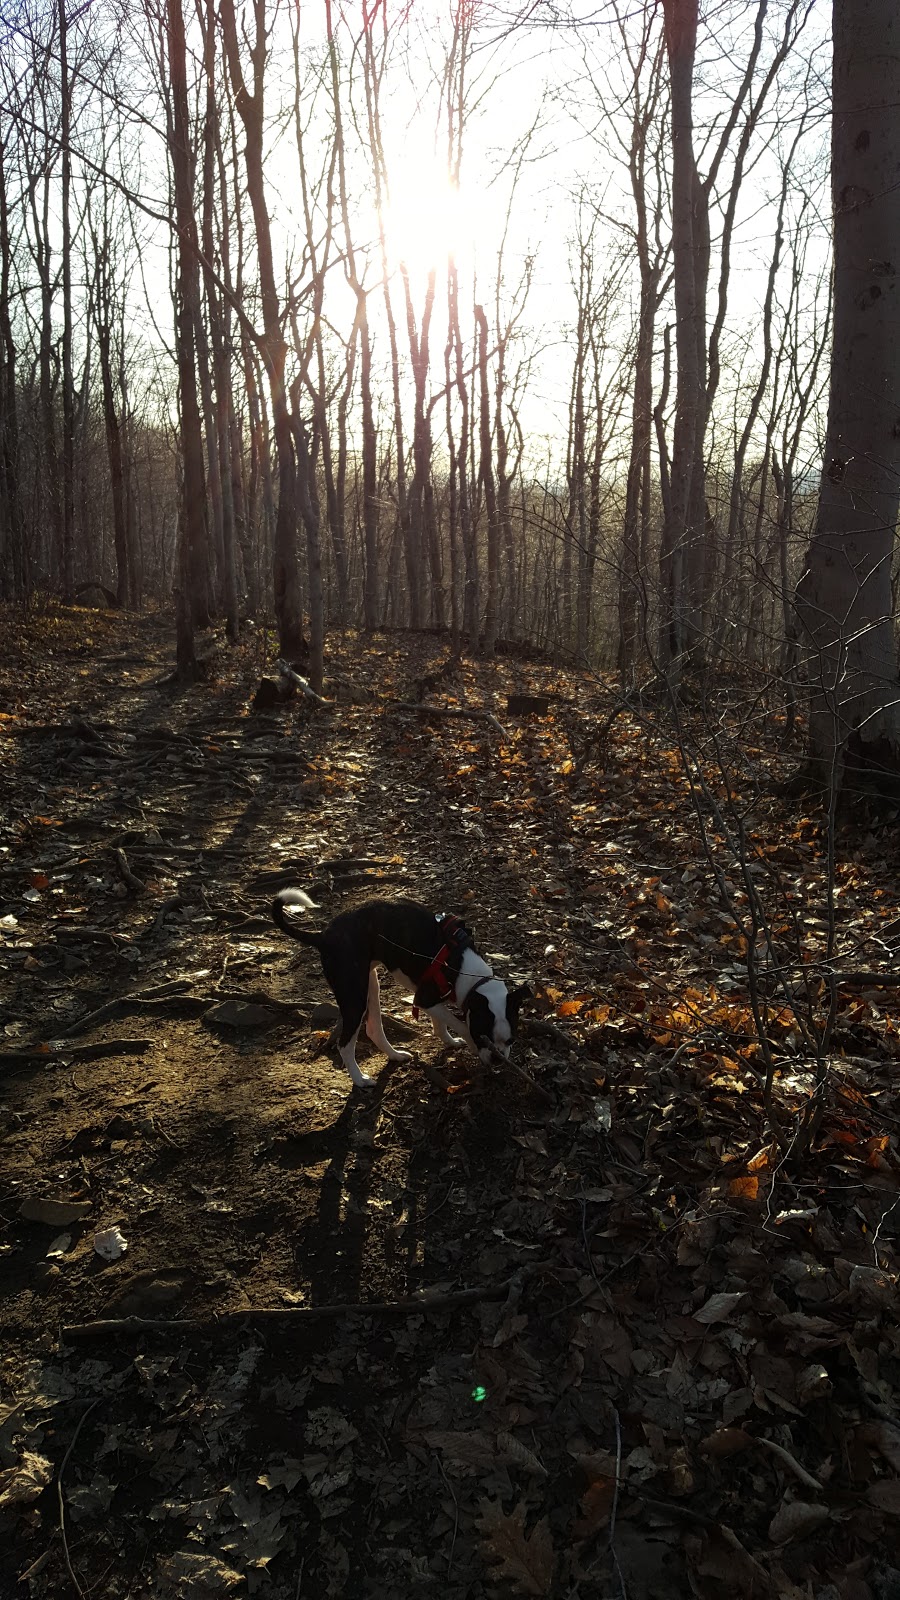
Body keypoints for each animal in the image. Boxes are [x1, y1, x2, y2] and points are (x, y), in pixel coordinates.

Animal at [269, 889, 522, 1088]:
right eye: (482, 1036)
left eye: (511, 1041)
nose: (498, 1059)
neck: (461, 966)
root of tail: (323, 936)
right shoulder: (424, 999)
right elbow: (458, 1023)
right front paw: (469, 1042)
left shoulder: (432, 998)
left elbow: (441, 1023)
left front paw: (449, 1041)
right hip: (355, 996)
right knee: (345, 1044)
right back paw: (360, 1080)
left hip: (370, 984)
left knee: (373, 1029)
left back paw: (395, 1055)